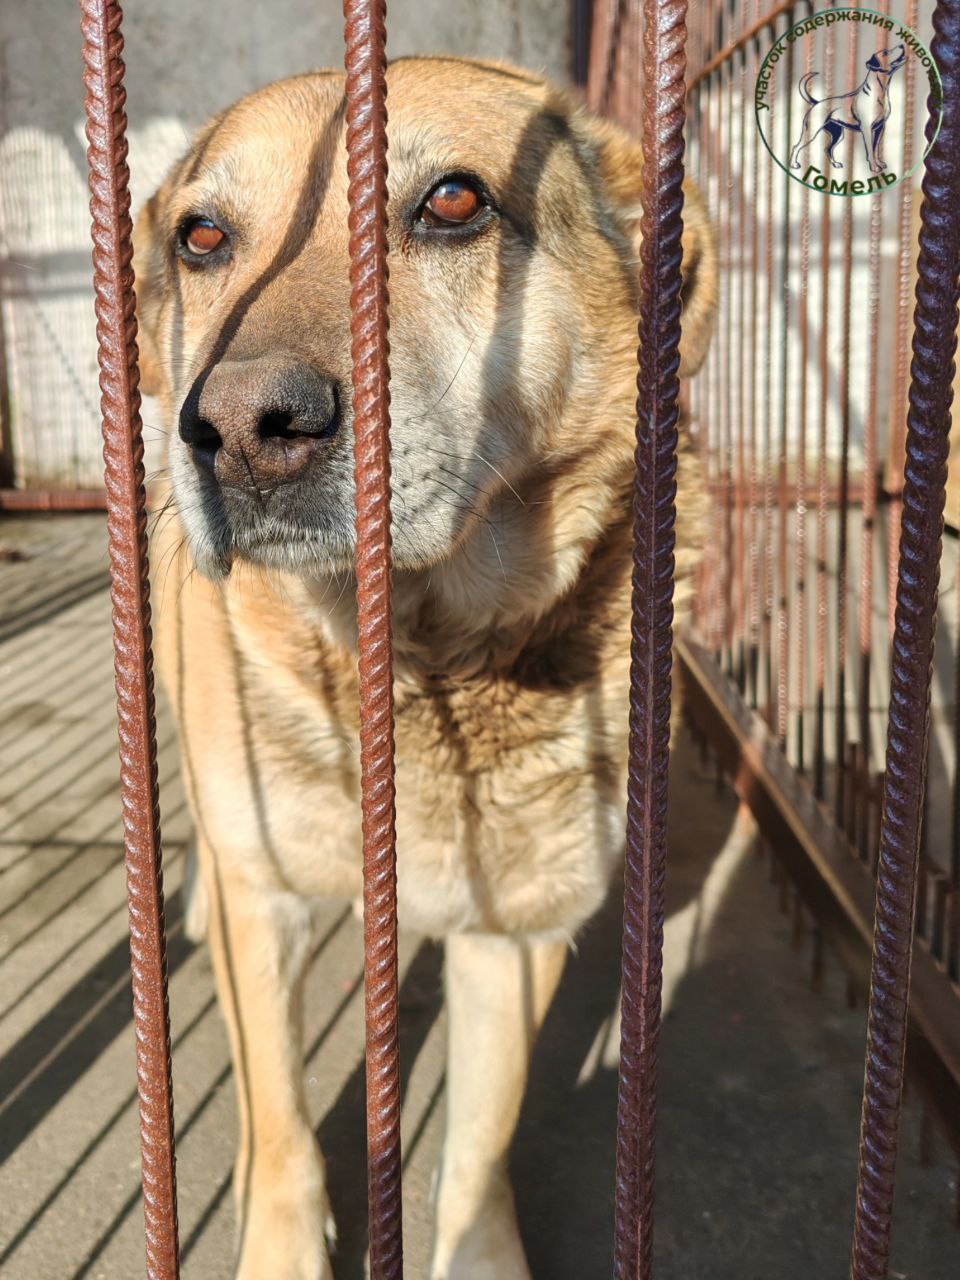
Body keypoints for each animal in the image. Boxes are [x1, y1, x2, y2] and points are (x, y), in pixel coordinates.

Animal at [134, 57, 717, 1280]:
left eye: (453, 203)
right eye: (203, 238)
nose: (241, 429)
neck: (421, 667)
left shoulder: (517, 934)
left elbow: (481, 1147)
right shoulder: (270, 905)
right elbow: (278, 1127)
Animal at [789, 43, 906, 175]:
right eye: (885, 53)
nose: (902, 45)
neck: (879, 92)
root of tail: (817, 103)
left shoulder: (880, 128)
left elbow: (876, 149)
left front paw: (879, 163)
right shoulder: (868, 129)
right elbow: (870, 150)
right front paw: (874, 167)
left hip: (838, 134)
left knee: (828, 149)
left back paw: (835, 164)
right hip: (811, 130)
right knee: (796, 146)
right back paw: (794, 164)